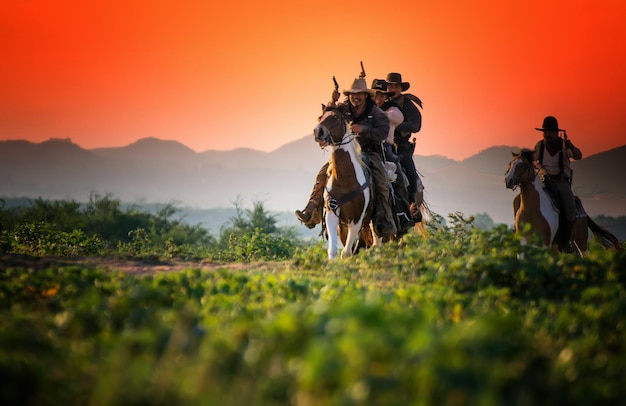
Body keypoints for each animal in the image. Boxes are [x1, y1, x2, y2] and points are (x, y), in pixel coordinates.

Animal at [312, 107, 380, 260]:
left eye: (336, 117)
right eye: (320, 117)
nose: (318, 131)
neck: (345, 180)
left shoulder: (356, 219)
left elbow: (347, 252)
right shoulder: (332, 213)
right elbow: (333, 250)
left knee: (377, 243)